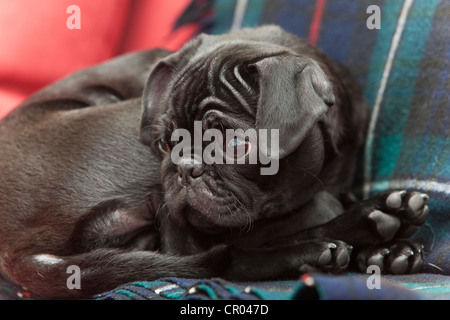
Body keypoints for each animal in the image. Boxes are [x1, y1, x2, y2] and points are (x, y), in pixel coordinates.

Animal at [0, 25, 428, 298]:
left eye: (236, 144)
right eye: (164, 143)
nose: (185, 166)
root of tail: (16, 248)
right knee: (221, 254)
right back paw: (354, 232)